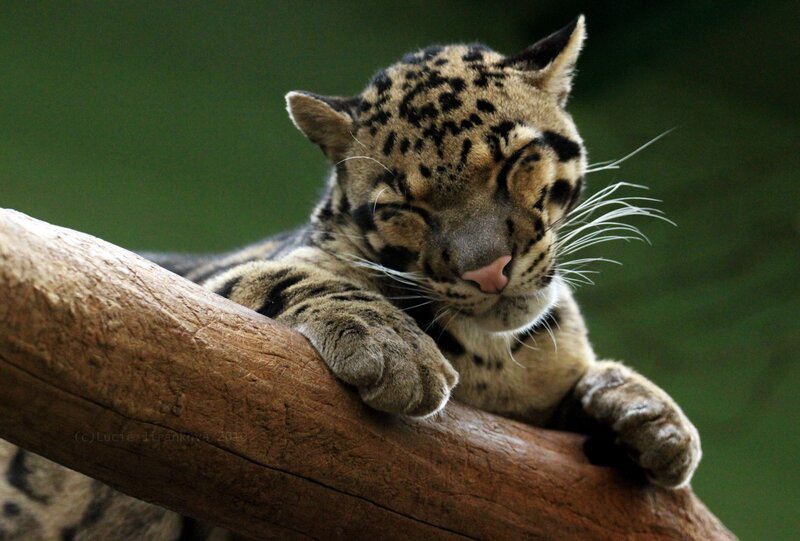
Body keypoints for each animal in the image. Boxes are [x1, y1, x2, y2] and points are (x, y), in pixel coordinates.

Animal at [1, 15, 701, 540]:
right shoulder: (188, 293)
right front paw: (396, 350)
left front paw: (653, 416)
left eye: (514, 163)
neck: (492, 359)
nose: (487, 271)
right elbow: (292, 276)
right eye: (405, 209)